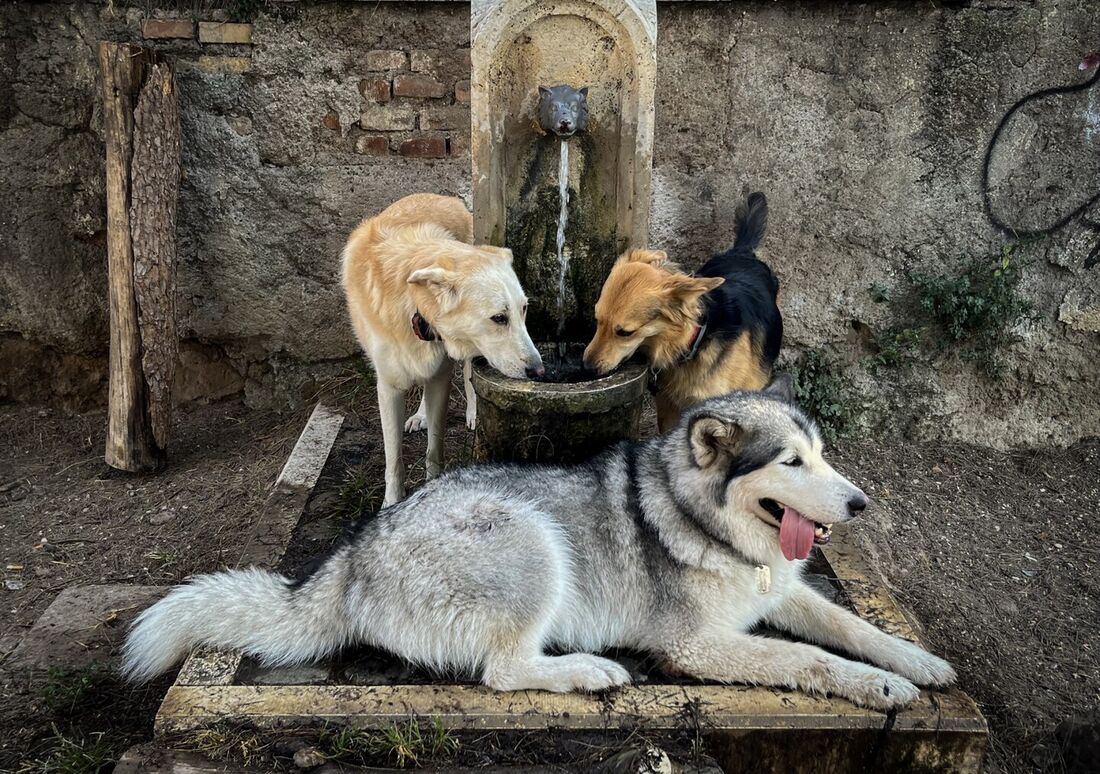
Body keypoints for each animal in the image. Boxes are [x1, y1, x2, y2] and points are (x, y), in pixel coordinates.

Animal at [585, 193, 783, 433]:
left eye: (625, 332)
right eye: (597, 321)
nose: (586, 367)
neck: (692, 343)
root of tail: (742, 253)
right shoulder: (668, 407)